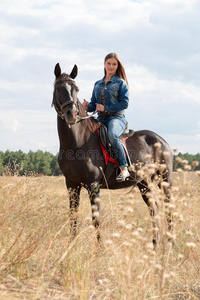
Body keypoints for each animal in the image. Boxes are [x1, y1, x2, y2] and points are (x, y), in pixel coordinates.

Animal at [52, 63, 173, 246]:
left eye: (76, 89)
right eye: (58, 88)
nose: (71, 115)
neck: (76, 142)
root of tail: (162, 141)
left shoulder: (93, 185)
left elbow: (96, 219)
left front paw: (100, 249)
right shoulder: (71, 185)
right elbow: (73, 217)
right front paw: (70, 246)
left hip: (165, 180)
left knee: (168, 208)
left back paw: (171, 243)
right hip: (144, 183)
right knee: (154, 209)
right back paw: (154, 243)